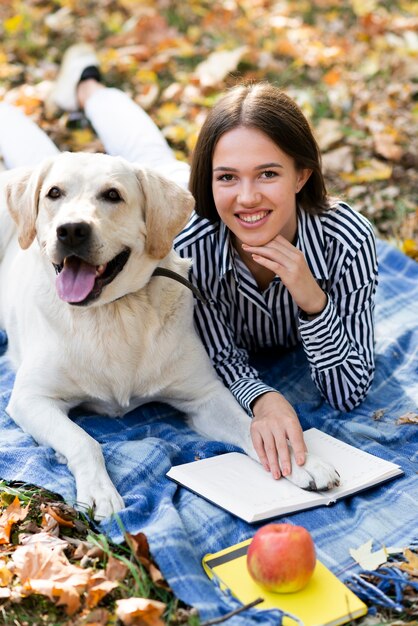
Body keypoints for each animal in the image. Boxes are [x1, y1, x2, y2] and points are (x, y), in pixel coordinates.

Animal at [0, 152, 340, 516]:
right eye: (54, 193)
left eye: (112, 195)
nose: (72, 231)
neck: (115, 310)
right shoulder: (30, 398)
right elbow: (83, 440)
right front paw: (99, 492)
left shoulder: (205, 394)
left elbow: (251, 426)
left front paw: (302, 461)